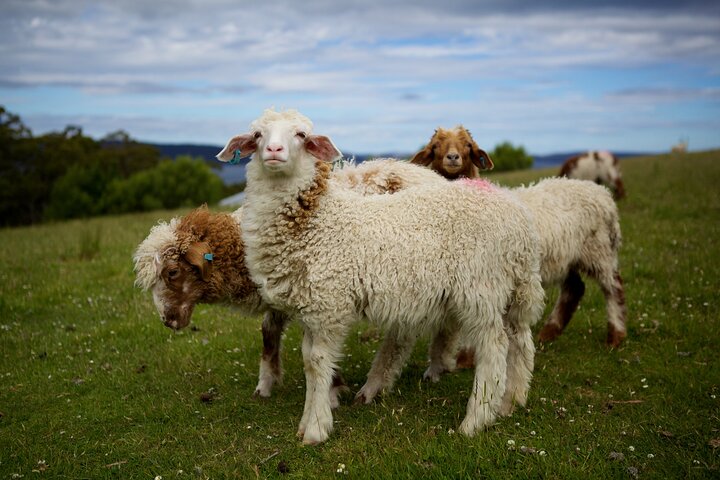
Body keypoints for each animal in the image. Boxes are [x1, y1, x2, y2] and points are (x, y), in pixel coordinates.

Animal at [217, 107, 544, 444]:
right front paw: (308, 422)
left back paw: (475, 420)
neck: (316, 220)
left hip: (481, 286)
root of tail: (517, 218)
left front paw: (317, 428)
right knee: (520, 341)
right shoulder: (311, 306)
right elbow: (308, 361)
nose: (273, 150)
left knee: (494, 347)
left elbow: (318, 363)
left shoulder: (329, 305)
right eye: (257, 135)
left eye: (301, 135)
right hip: (516, 286)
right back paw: (511, 401)